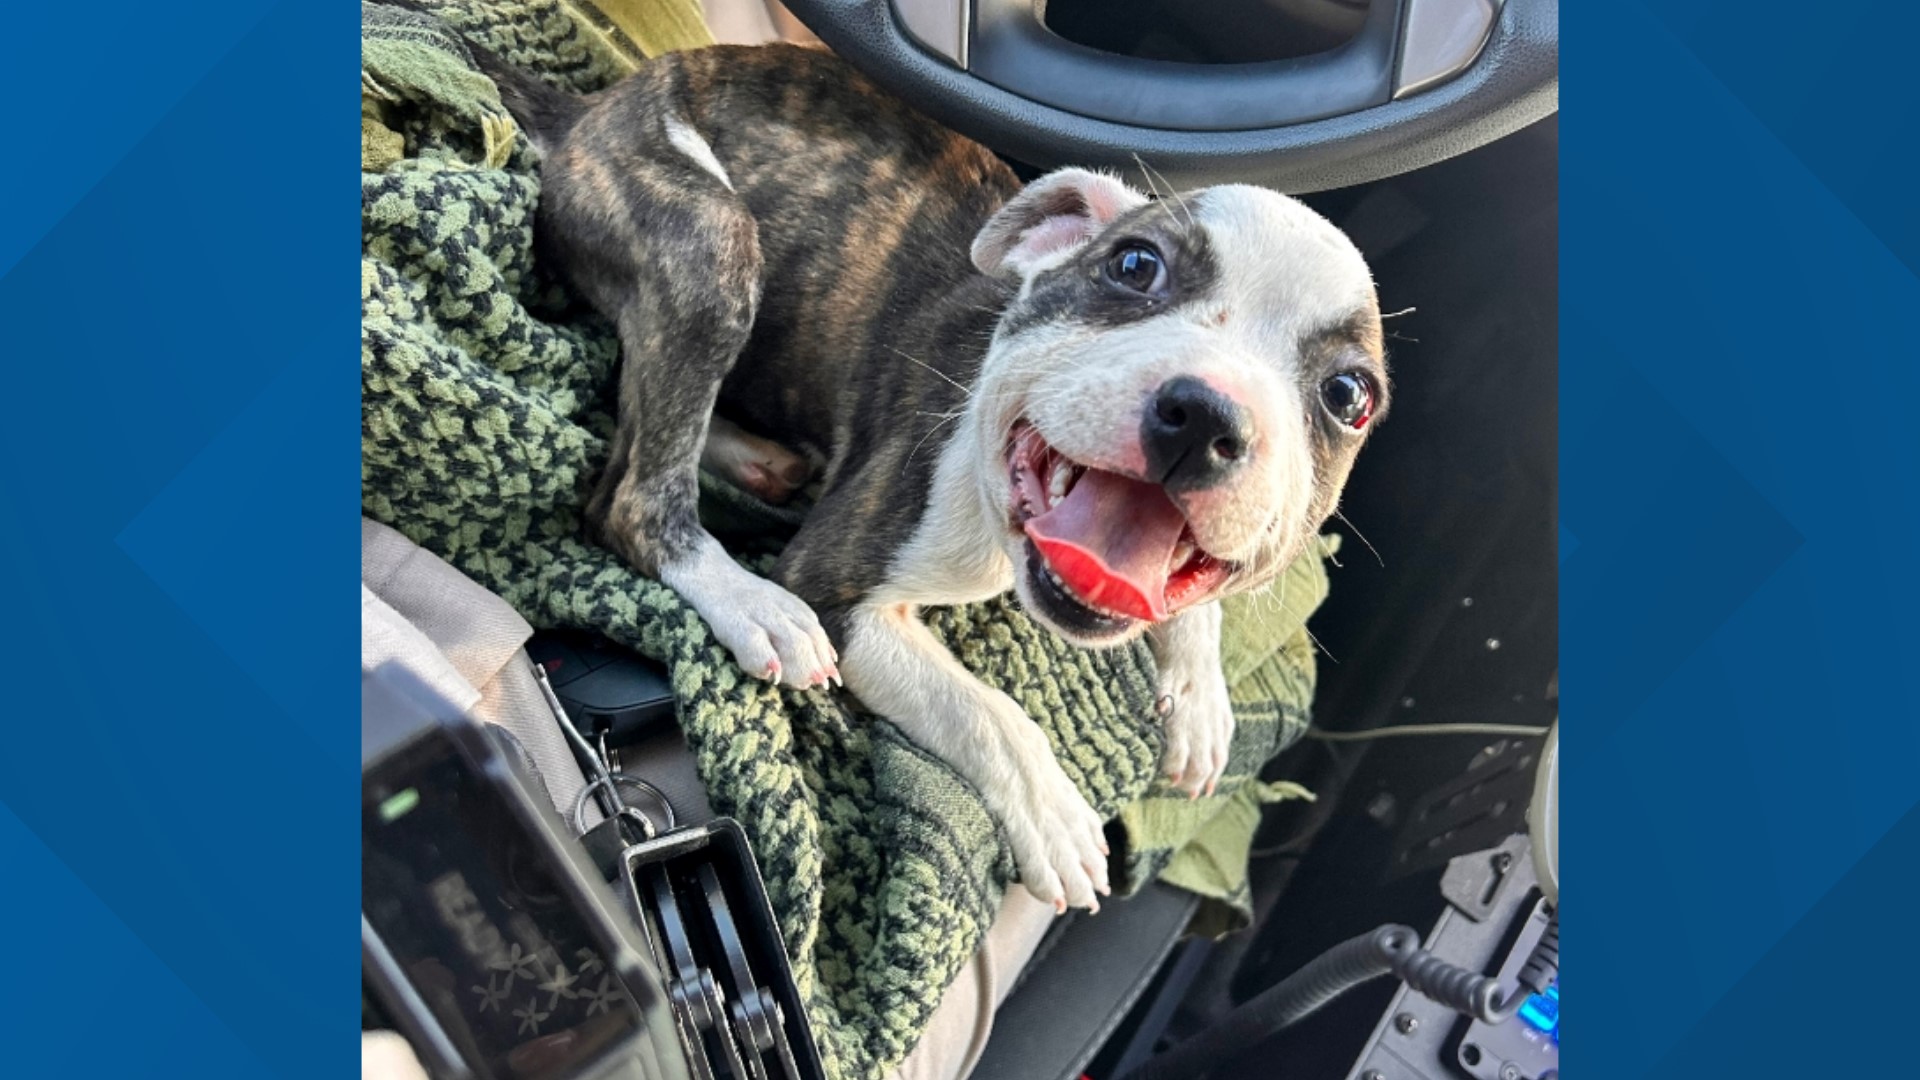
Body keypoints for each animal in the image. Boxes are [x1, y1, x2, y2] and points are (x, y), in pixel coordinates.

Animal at [472, 37, 1390, 907]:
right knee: (634, 493)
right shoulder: (840, 588)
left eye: (1349, 396)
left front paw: (1200, 695)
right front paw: (1053, 812)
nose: (1206, 415)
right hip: (711, 249)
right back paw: (750, 601)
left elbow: (1196, 603)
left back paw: (755, 459)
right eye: (1134, 265)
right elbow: (983, 710)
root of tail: (596, 108)